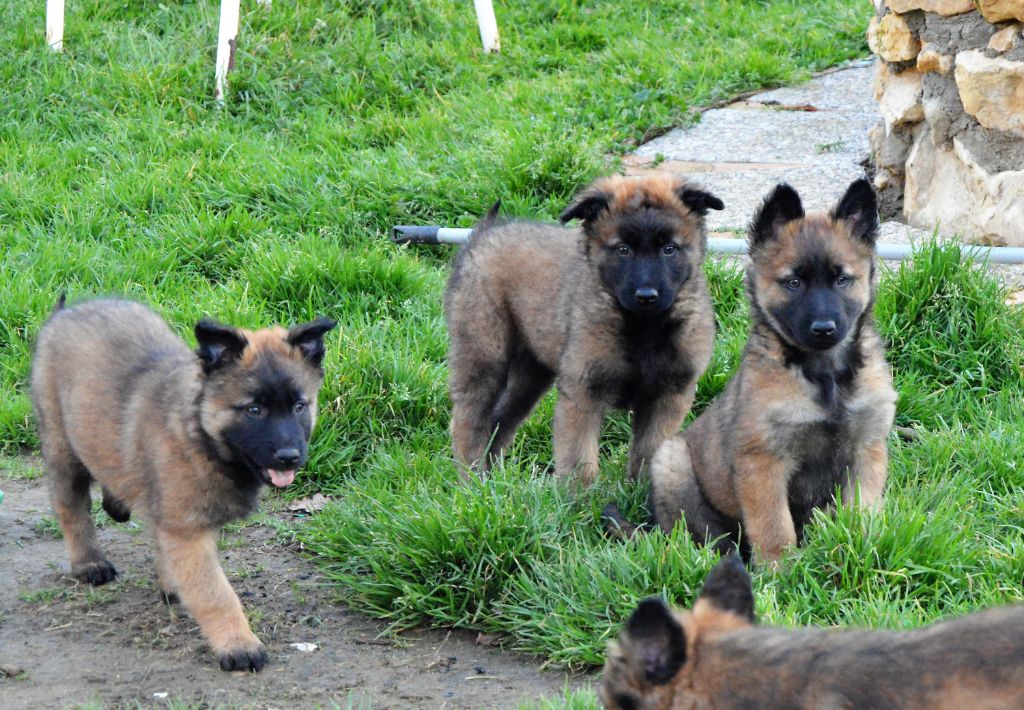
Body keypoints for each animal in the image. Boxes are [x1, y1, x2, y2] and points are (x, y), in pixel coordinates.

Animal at [30, 297, 335, 672]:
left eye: (299, 406)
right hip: (62, 446)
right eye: (254, 409)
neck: (201, 434)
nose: (289, 457)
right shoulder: (186, 531)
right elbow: (215, 594)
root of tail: (65, 311)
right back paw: (89, 562)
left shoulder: (174, 519)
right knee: (72, 508)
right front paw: (238, 645)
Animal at [444, 176, 724, 487]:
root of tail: (482, 237)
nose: (647, 296)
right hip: (484, 355)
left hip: (530, 374)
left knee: (500, 422)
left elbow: (649, 452)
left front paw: (645, 494)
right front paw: (578, 499)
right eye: (623, 250)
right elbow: (580, 462)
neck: (644, 327)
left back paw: (494, 483)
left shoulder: (669, 396)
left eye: (669, 249)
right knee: (469, 423)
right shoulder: (582, 393)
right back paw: (471, 482)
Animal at [606, 178, 897, 565]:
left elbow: (861, 511)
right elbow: (774, 525)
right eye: (793, 283)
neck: (825, 376)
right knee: (707, 539)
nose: (824, 328)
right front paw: (780, 570)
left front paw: (862, 547)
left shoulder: (866, 451)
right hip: (672, 463)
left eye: (842, 280)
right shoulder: (763, 462)